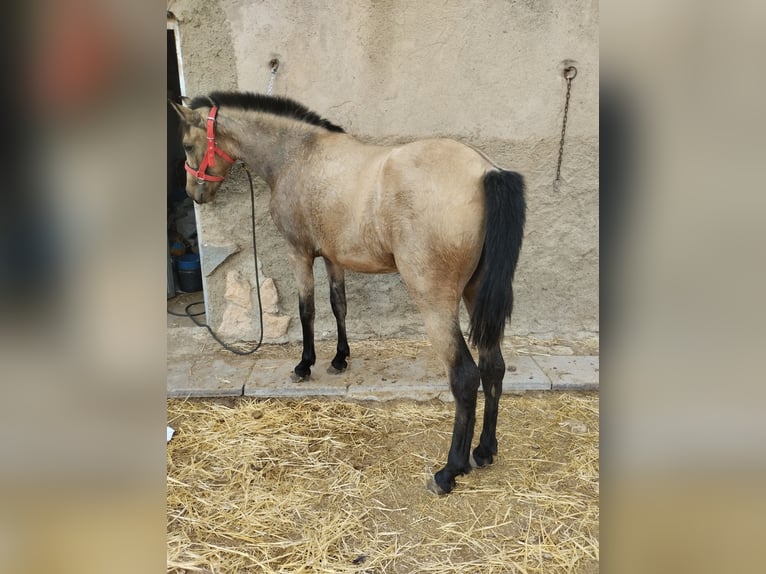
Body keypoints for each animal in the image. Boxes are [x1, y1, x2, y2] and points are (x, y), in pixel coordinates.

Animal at [171, 91, 524, 496]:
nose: (193, 193)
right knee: (493, 367)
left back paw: (450, 471)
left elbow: (307, 309)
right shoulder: (332, 257)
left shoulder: (299, 253)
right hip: (475, 294)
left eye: (187, 144)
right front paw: (340, 359)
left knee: (465, 377)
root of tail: (486, 172)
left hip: (436, 303)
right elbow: (338, 305)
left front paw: (304, 365)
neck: (298, 155)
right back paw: (484, 450)